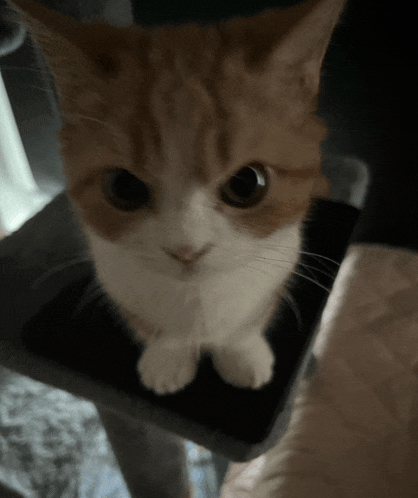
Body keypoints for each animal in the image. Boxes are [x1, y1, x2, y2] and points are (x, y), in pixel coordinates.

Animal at [9, 0, 346, 396]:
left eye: (247, 184)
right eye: (123, 187)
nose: (186, 250)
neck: (196, 299)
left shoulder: (280, 264)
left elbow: (246, 324)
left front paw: (243, 355)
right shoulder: (115, 278)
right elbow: (155, 328)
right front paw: (167, 359)